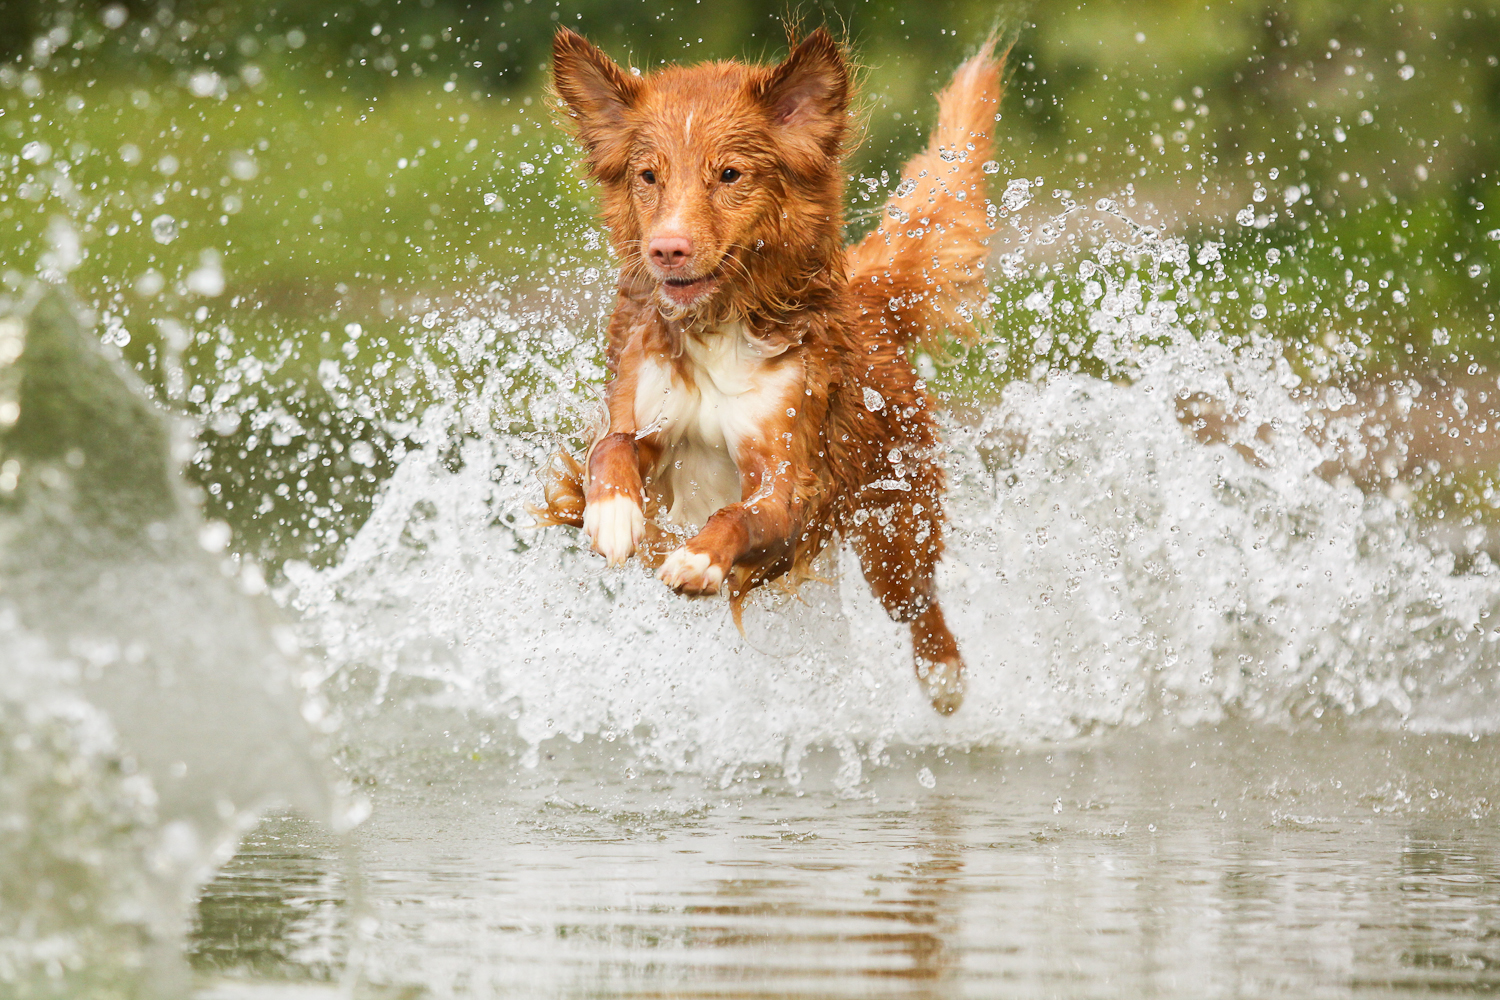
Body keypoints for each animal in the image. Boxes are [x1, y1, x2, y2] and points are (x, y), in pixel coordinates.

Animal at [534, 27, 1002, 716]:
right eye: (648, 176)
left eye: (730, 174)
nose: (666, 248)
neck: (719, 326)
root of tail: (869, 299)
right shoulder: (643, 414)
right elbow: (609, 450)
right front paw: (612, 513)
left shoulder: (788, 484)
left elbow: (739, 515)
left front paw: (699, 561)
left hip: (893, 522)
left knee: (919, 603)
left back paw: (945, 678)